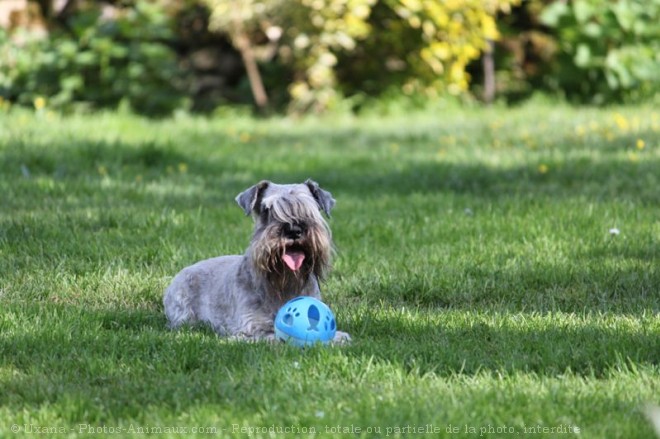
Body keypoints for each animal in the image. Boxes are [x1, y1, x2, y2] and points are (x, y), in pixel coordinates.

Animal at [164, 180, 350, 344]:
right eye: (266, 210)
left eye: (311, 209)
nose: (294, 230)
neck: (284, 284)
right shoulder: (250, 328)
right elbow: (274, 337)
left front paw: (339, 338)